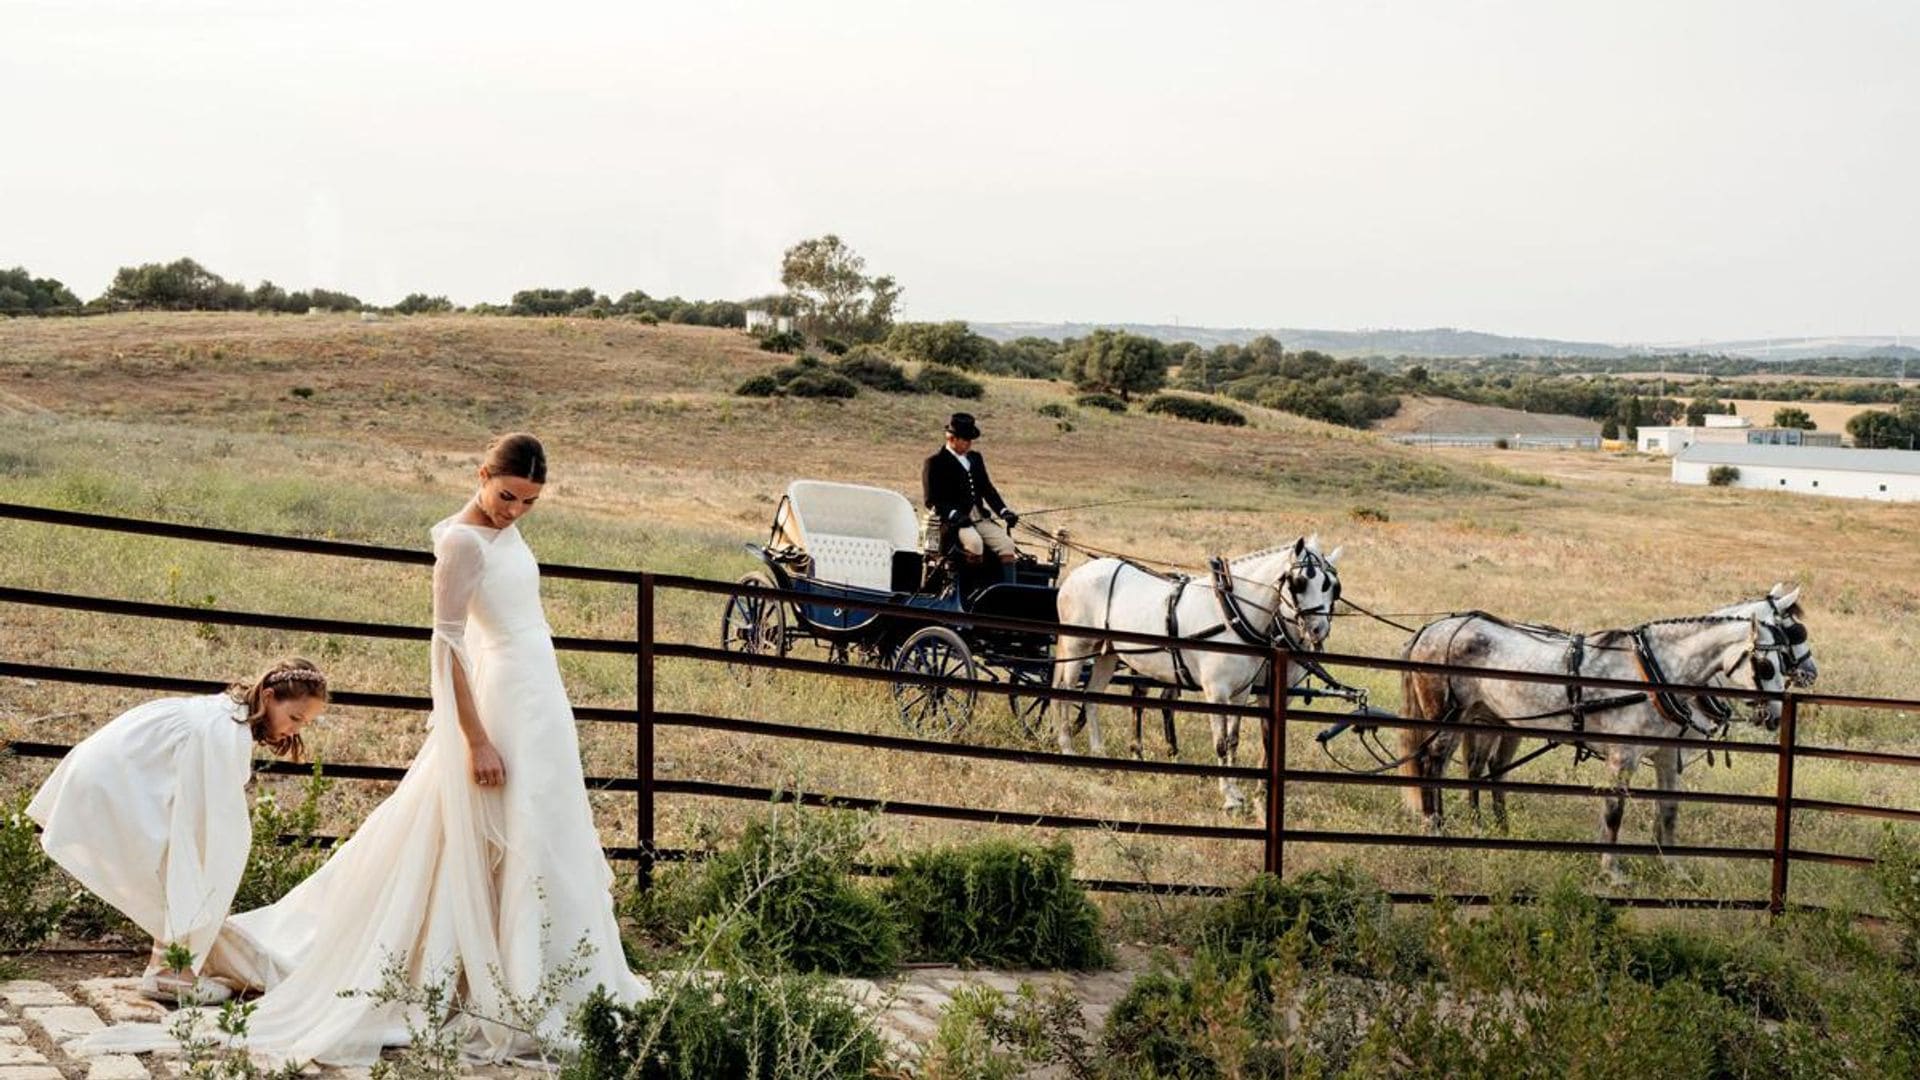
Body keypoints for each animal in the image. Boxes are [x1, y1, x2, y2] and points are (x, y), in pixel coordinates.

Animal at [1052, 534, 1351, 807]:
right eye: (1299, 582)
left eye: (1333, 588)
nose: (1318, 629)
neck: (1231, 613)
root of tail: (1077, 574)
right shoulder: (1217, 692)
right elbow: (1220, 742)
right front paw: (1229, 796)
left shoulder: (1242, 692)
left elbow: (1233, 740)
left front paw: (1238, 790)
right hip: (1078, 645)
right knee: (1066, 691)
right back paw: (1067, 748)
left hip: (1108, 653)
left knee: (1091, 696)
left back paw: (1098, 753)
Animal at [1397, 595, 1797, 883]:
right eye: (1767, 666)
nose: (1776, 716)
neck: (1655, 671)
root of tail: (1433, 628)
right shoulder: (1624, 755)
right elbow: (1615, 811)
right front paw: (1611, 870)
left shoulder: (1667, 754)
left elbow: (1669, 811)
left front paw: (1674, 868)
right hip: (1447, 717)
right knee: (1433, 764)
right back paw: (1434, 828)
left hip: (1483, 717)